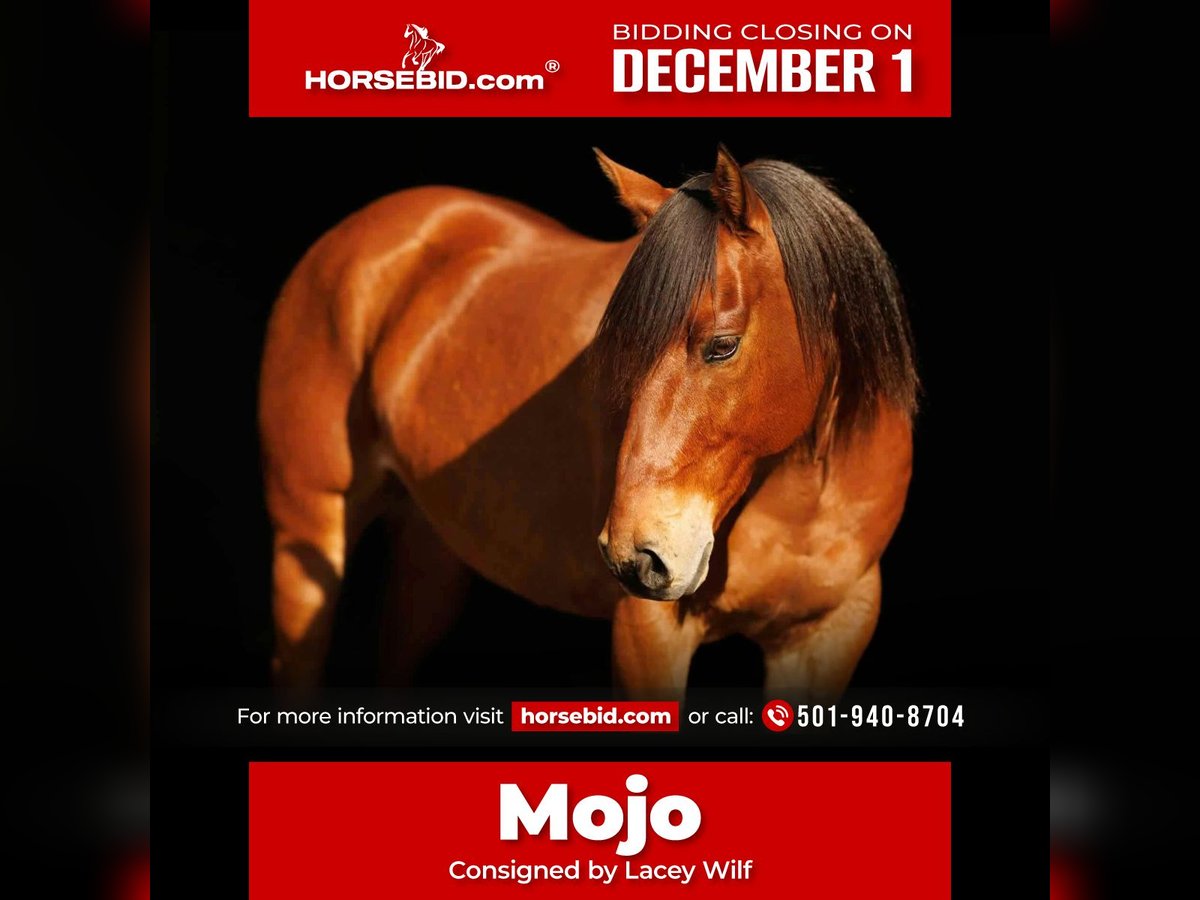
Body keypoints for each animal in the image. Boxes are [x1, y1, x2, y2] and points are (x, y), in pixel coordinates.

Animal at [259, 146, 917, 700]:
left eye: (723, 346)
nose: (636, 559)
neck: (798, 497)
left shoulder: (826, 638)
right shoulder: (649, 632)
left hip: (430, 549)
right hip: (307, 542)